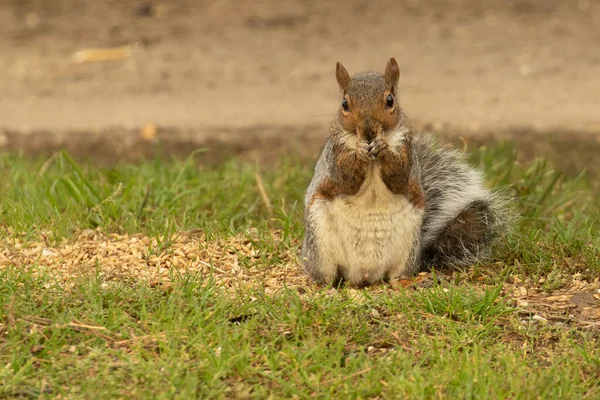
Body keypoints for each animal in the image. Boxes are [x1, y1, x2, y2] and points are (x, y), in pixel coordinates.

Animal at [300, 57, 506, 288]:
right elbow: (345, 178)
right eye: (344, 104)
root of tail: (364, 275)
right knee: (325, 275)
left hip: (407, 247)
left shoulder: (406, 151)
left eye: (390, 101)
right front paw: (360, 152)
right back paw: (320, 285)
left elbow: (399, 176)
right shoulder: (335, 155)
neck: (372, 160)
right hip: (320, 244)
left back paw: (409, 282)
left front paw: (383, 148)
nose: (369, 130)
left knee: (396, 276)